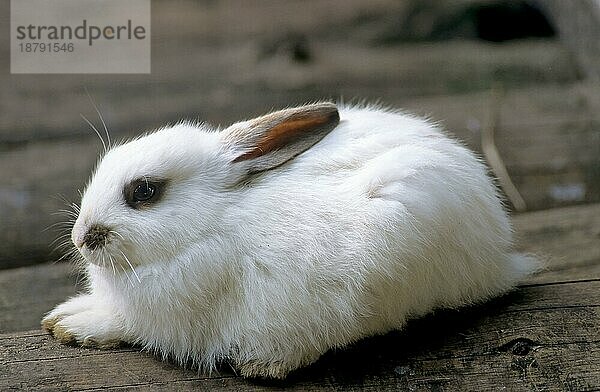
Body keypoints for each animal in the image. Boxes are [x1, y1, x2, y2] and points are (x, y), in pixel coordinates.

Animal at [42, 102, 540, 378]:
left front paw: (75, 324)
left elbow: (127, 326)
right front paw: (64, 321)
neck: (212, 224)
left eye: (144, 192)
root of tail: (499, 255)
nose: (82, 238)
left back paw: (264, 366)